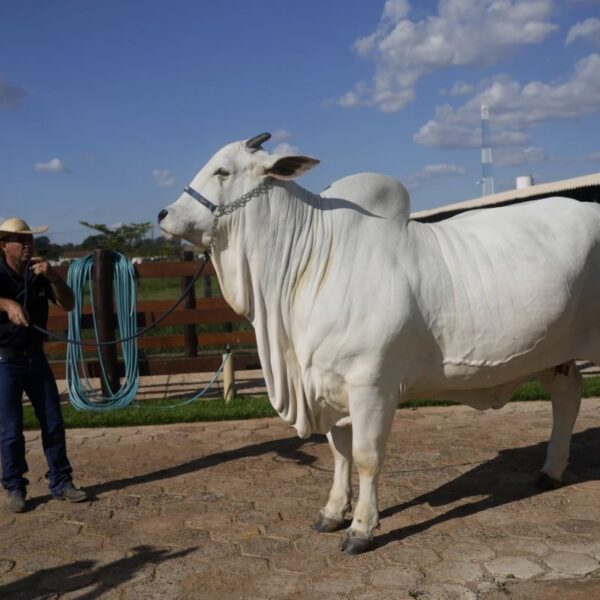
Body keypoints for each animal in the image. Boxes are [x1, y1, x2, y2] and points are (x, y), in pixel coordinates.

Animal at [158, 134, 600, 556]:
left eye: (222, 171)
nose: (164, 214)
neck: (309, 264)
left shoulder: (371, 385)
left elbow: (367, 457)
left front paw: (361, 529)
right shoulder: (328, 385)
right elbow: (339, 452)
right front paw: (333, 512)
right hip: (554, 355)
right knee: (568, 395)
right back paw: (550, 471)